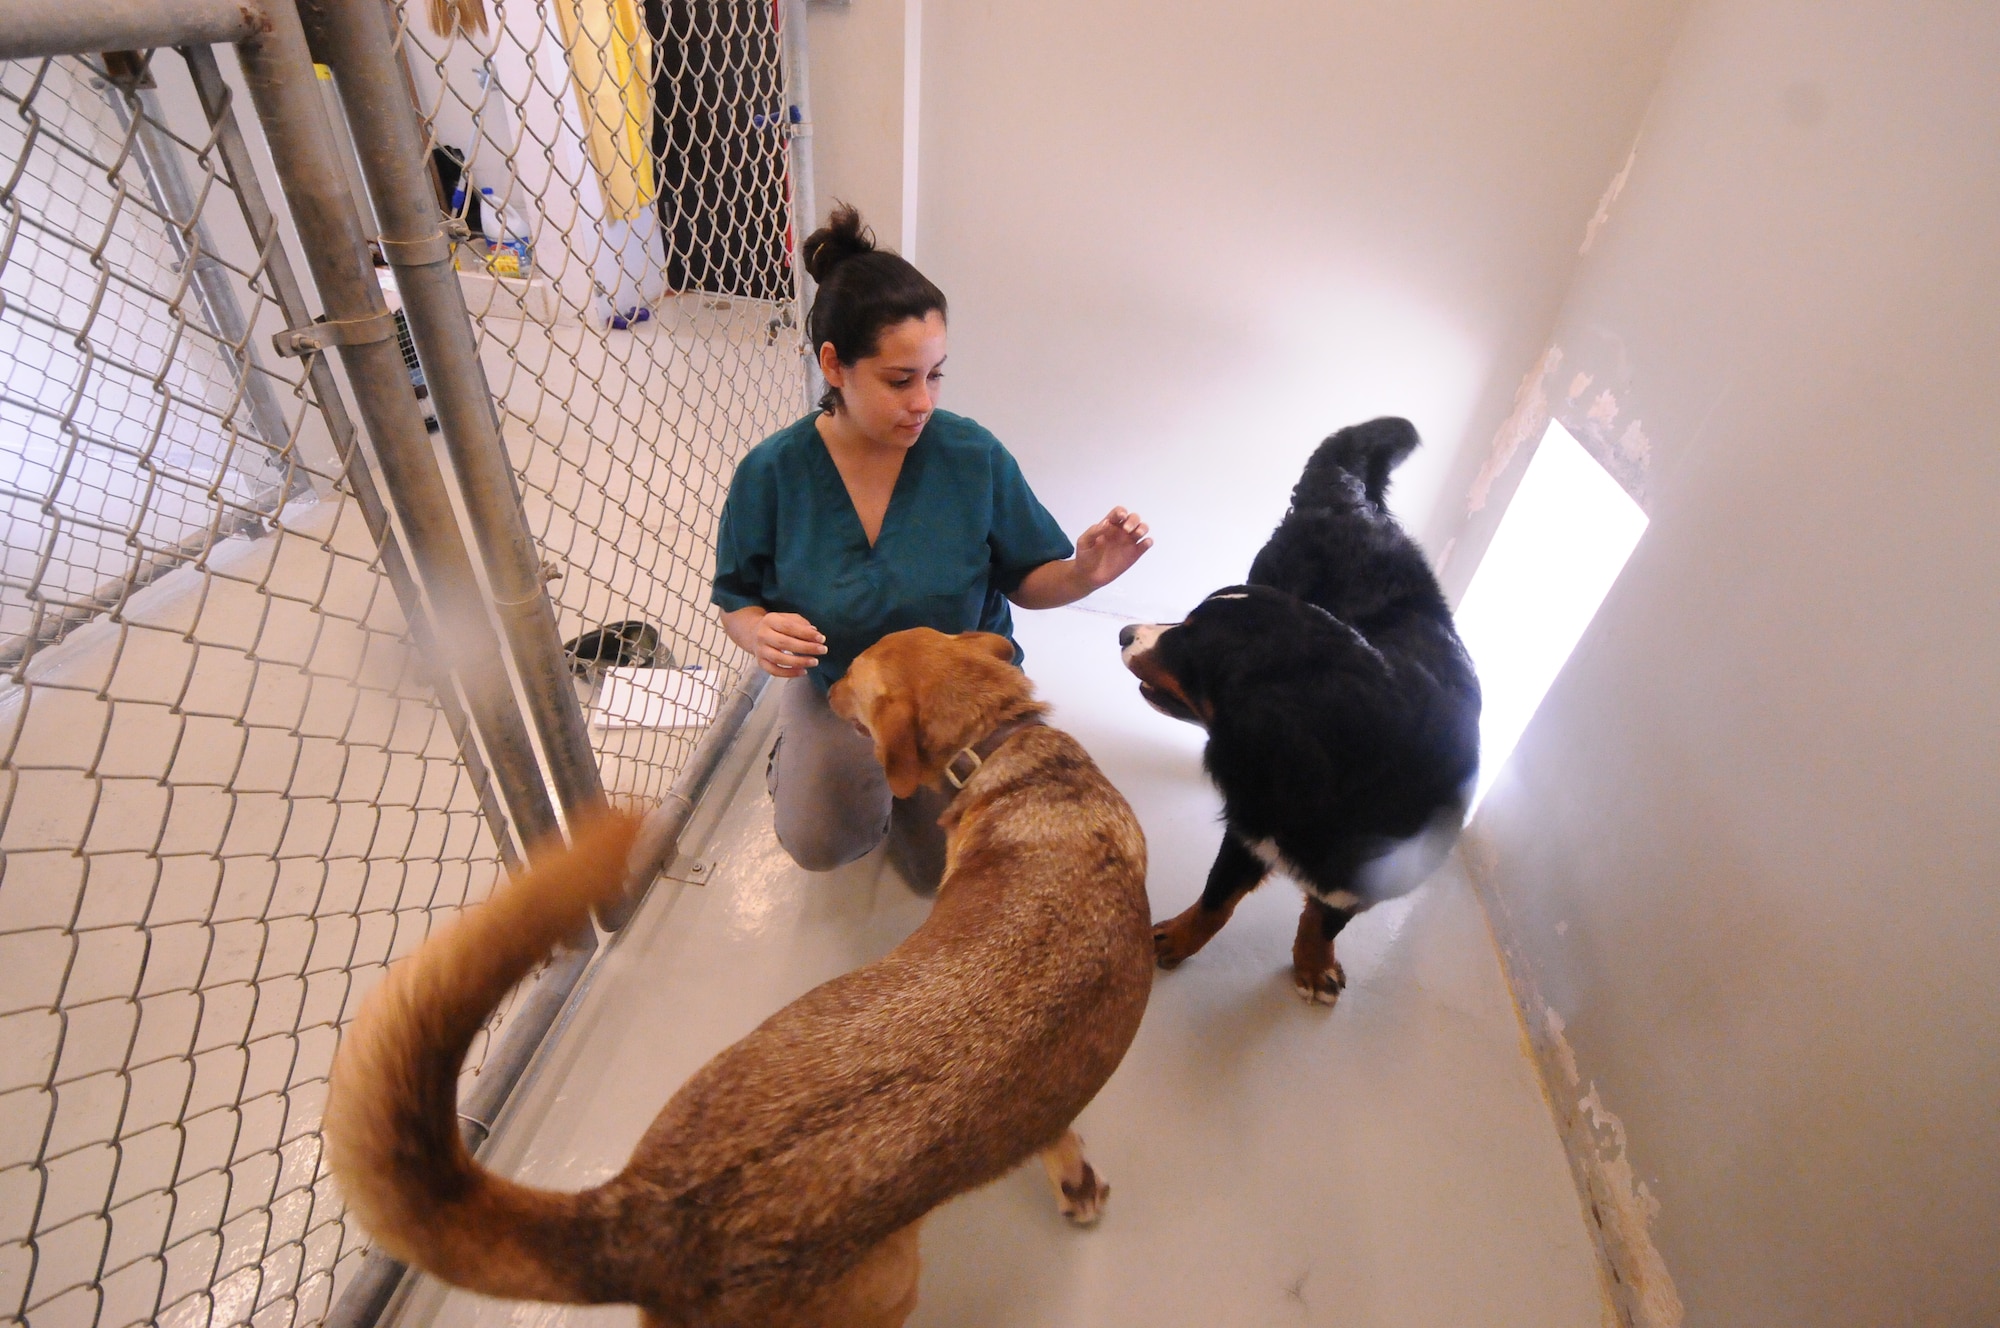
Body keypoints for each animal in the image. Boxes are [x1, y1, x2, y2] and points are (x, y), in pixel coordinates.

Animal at [1120, 420, 1480, 1000]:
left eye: (1190, 640)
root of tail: (1348, 498)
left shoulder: (1364, 873)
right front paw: (1176, 938)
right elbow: (1217, 899)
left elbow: (1325, 919)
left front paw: (1313, 965)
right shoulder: (1254, 823)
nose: (1126, 633)